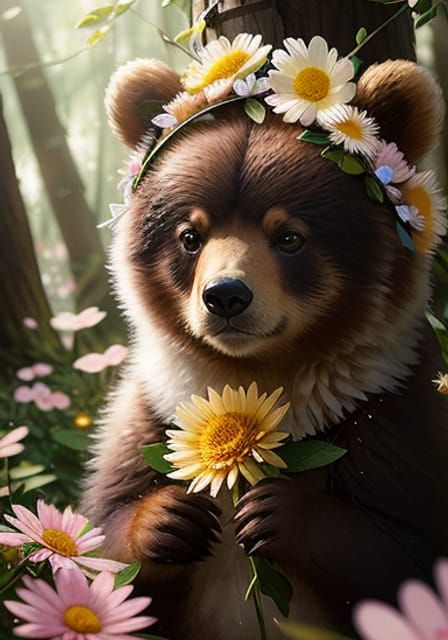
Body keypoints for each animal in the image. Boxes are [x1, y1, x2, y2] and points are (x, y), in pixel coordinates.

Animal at [81, 54, 448, 640]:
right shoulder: (152, 412)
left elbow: (408, 555)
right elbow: (103, 543)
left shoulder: (395, 416)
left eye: (290, 237)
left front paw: (276, 513)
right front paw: (168, 520)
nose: (226, 296)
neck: (255, 382)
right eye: (190, 236)